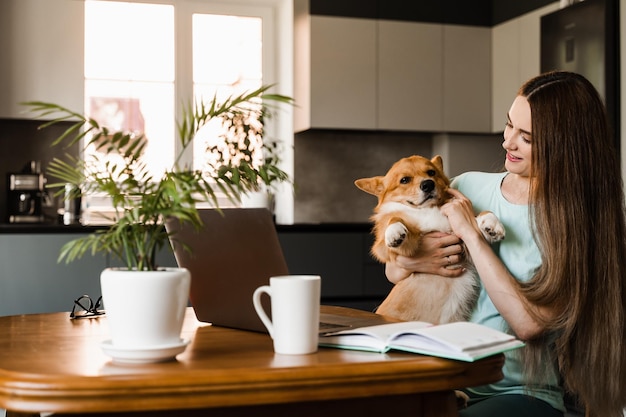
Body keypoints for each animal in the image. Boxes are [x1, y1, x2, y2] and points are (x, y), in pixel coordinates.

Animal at [354, 154, 504, 324]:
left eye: (431, 172)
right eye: (404, 180)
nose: (428, 184)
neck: (427, 210)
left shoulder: (465, 244)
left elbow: (480, 216)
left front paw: (492, 224)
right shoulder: (398, 249)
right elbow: (395, 219)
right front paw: (394, 232)